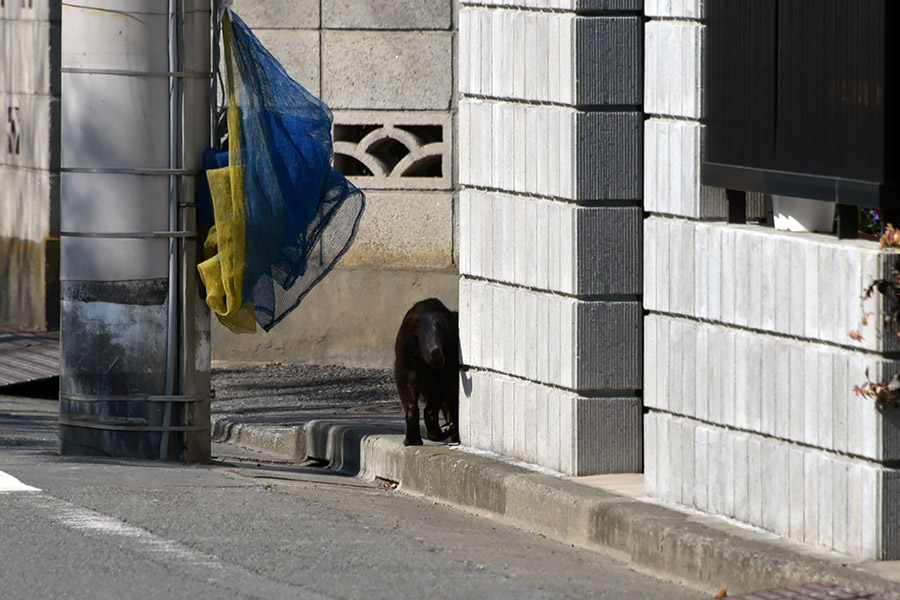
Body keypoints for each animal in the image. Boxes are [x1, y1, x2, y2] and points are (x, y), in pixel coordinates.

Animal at [394, 298, 460, 446]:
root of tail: (427, 319)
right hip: (446, 374)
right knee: (431, 411)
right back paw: (443, 431)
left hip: (405, 367)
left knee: (412, 408)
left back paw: (412, 440)